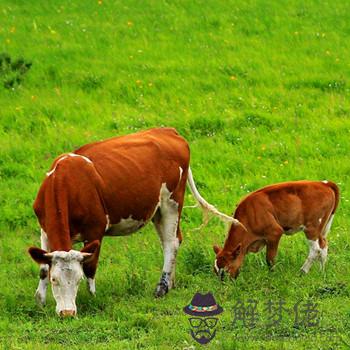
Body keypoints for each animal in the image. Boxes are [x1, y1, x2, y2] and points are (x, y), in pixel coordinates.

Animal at [28, 127, 237, 316]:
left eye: (78, 280)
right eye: (54, 279)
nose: (67, 313)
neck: (66, 183)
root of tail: (169, 130)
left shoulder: (95, 230)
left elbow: (90, 267)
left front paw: (92, 298)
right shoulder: (45, 231)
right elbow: (43, 267)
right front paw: (40, 301)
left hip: (172, 201)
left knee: (172, 242)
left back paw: (161, 288)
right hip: (157, 210)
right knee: (170, 240)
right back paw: (171, 282)